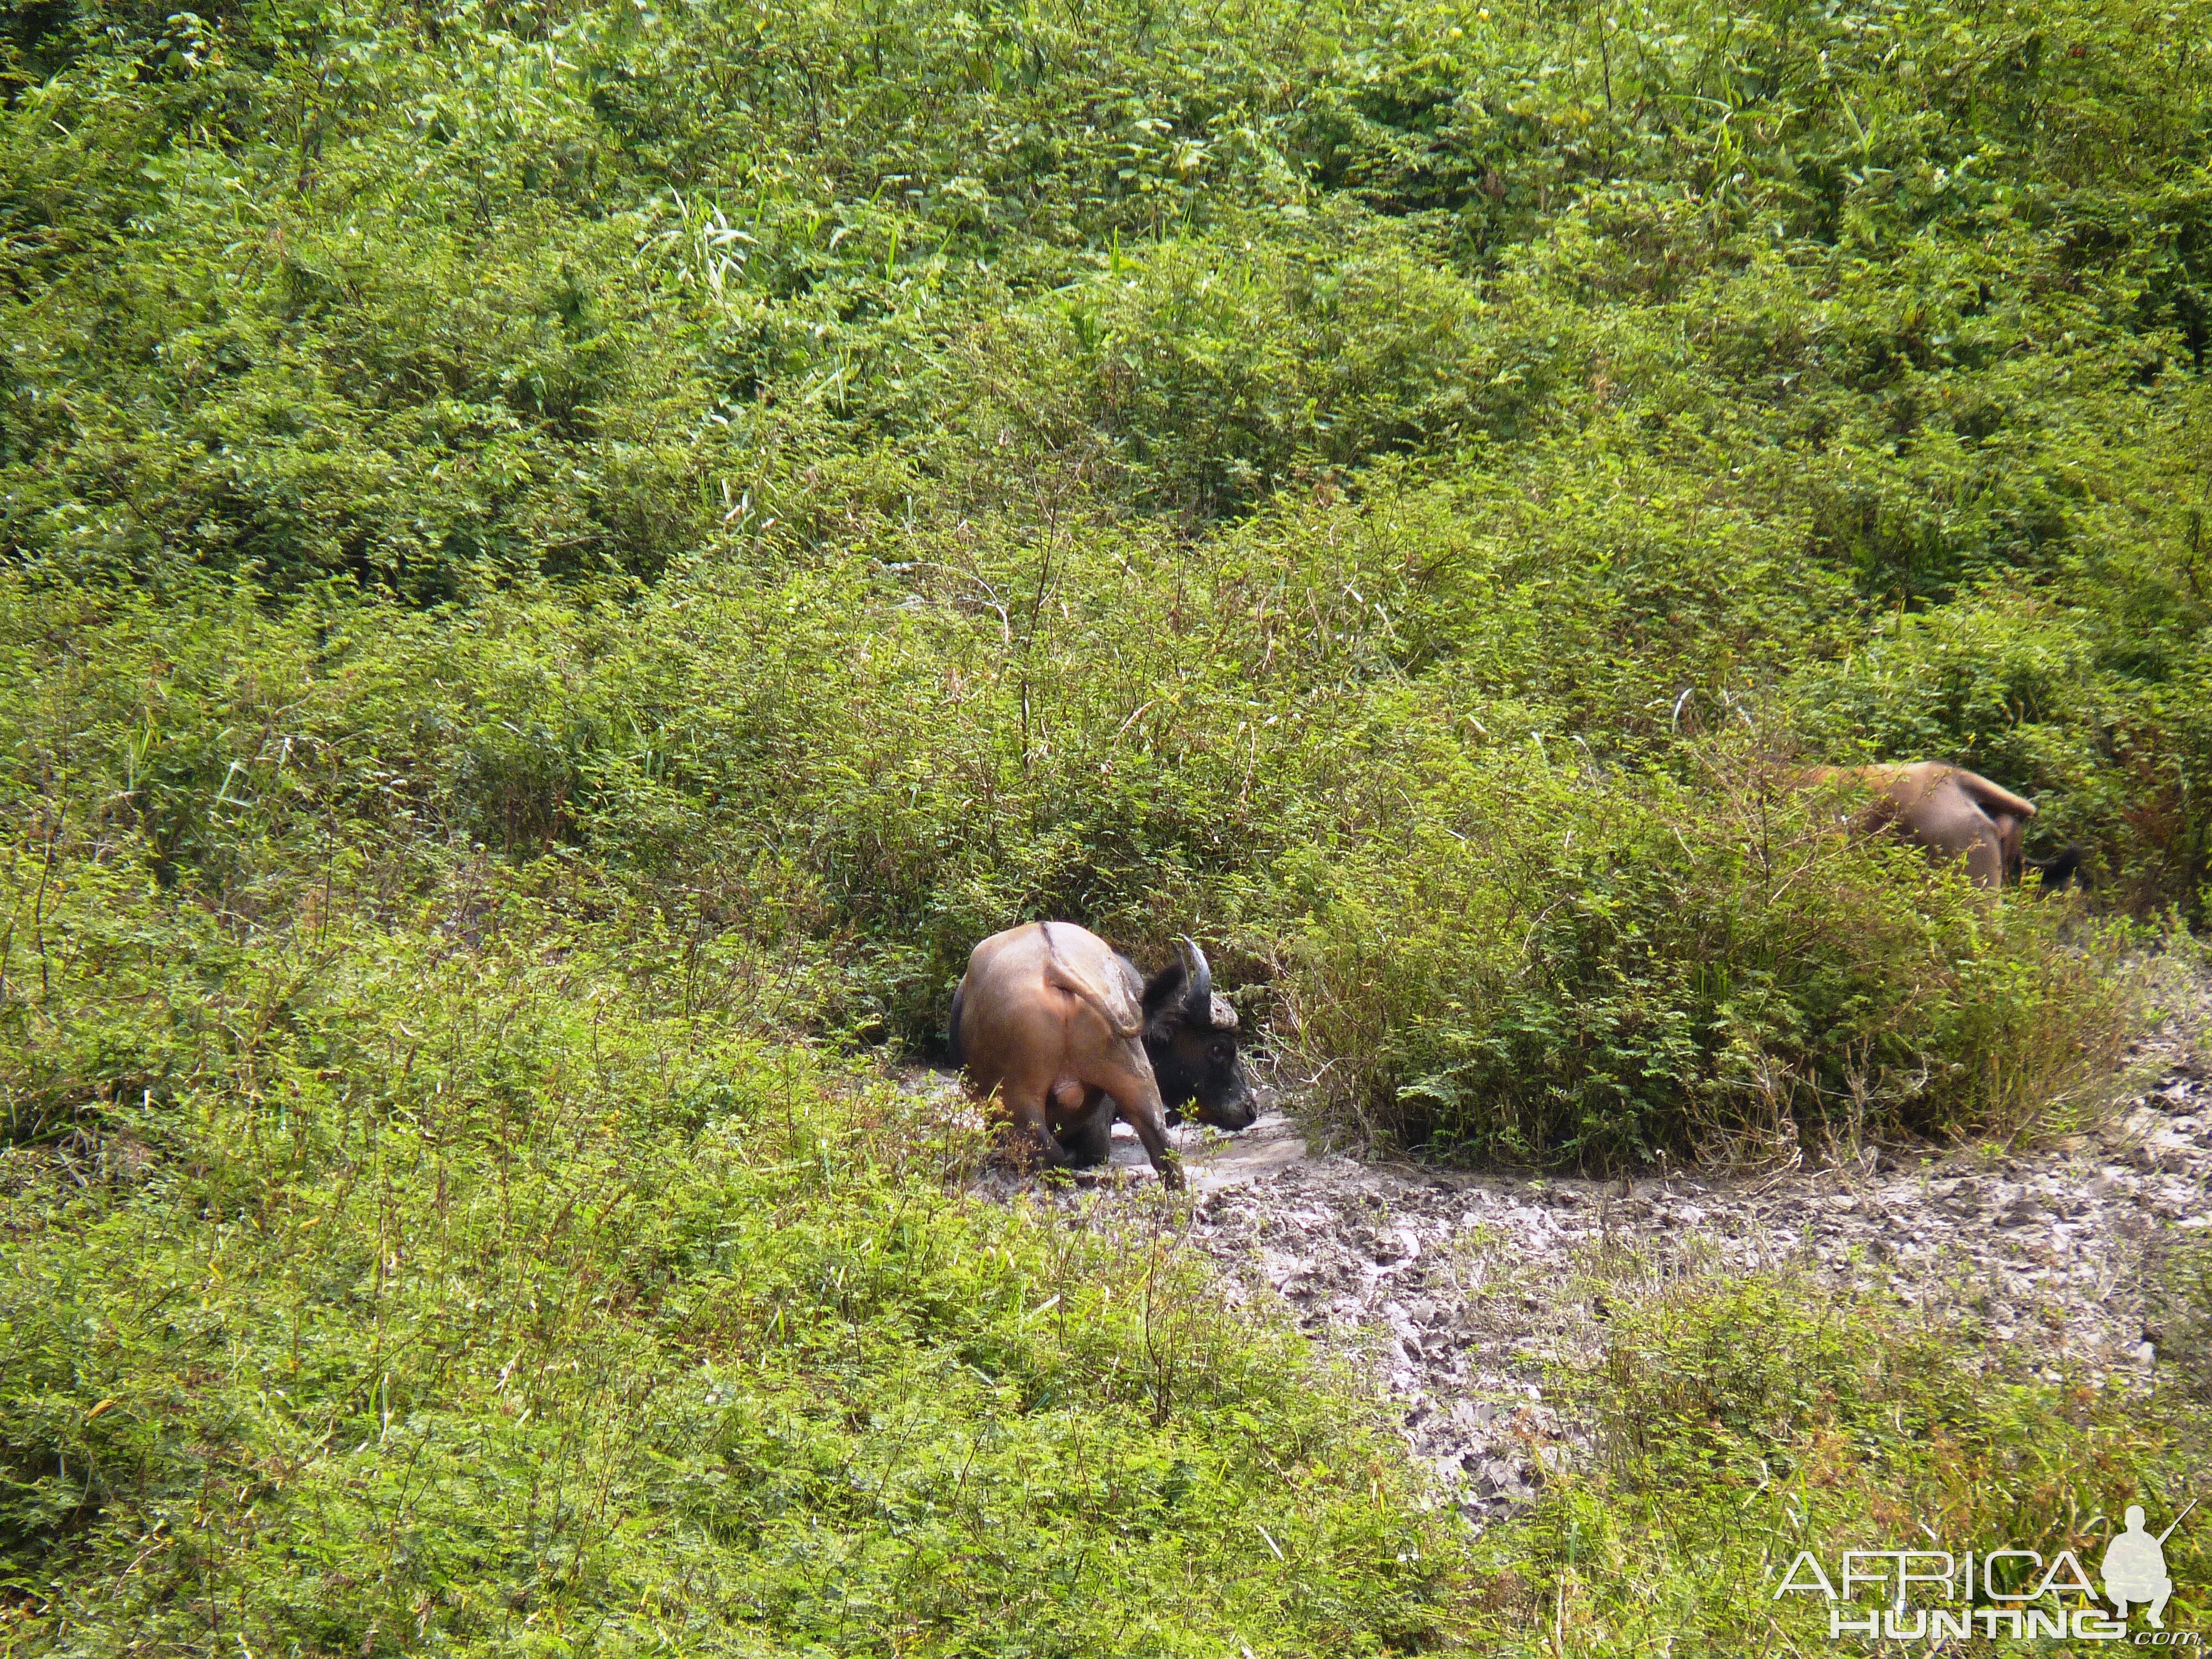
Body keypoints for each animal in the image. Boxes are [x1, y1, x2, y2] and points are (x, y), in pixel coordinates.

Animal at [947, 925, 1265, 1194]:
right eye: (1219, 1048)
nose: (1250, 1109)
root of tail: (1053, 964)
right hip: (1134, 1075)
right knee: (1162, 1147)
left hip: (1020, 1098)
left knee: (1053, 1153)